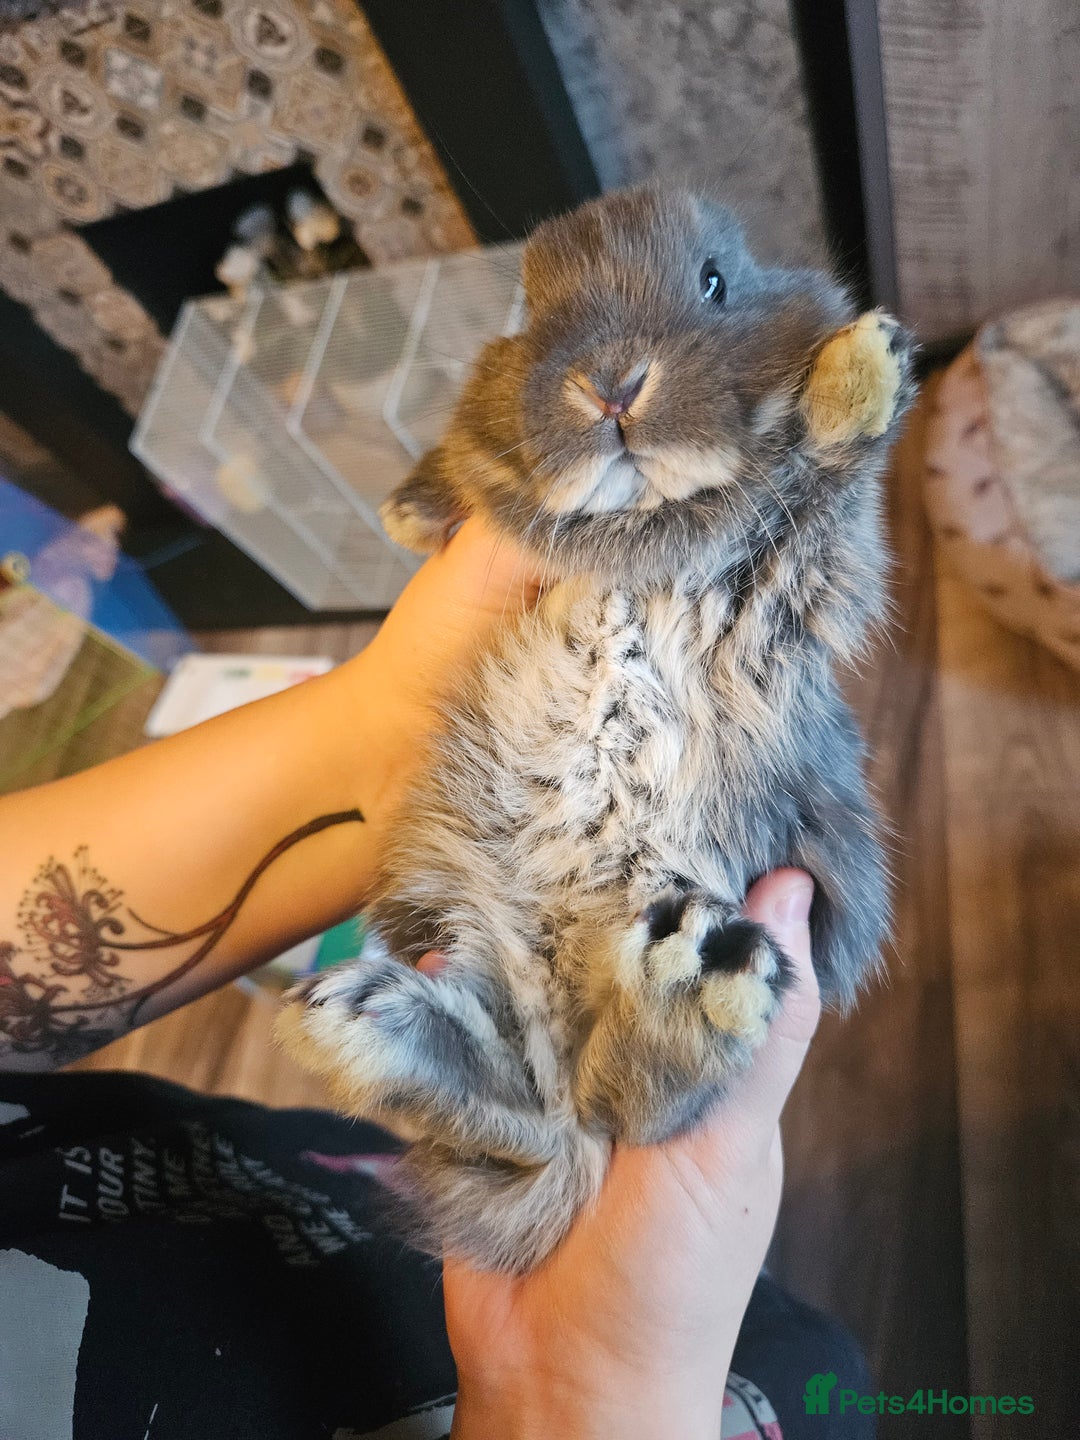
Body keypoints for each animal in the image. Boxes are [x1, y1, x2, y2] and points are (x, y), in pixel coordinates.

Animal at [276, 187, 917, 1273]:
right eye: (528, 311)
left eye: (715, 281)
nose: (612, 387)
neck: (637, 529)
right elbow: (467, 459)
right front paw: (410, 508)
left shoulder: (793, 565)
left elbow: (829, 464)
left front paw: (867, 361)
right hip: (474, 923)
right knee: (546, 1102)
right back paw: (370, 1029)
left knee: (624, 1110)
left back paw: (691, 987)